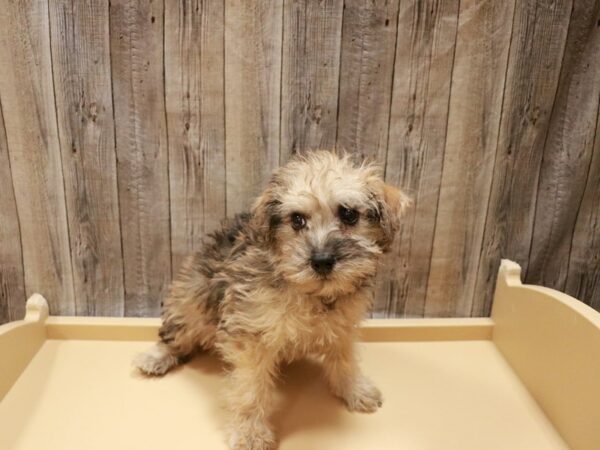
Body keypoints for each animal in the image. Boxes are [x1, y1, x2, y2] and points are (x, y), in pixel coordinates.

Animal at [134, 149, 410, 448]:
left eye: (349, 214)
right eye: (297, 220)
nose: (322, 261)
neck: (311, 294)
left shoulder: (343, 326)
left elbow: (345, 360)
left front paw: (355, 389)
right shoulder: (251, 336)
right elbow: (250, 389)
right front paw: (250, 432)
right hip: (191, 302)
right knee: (174, 334)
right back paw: (155, 358)